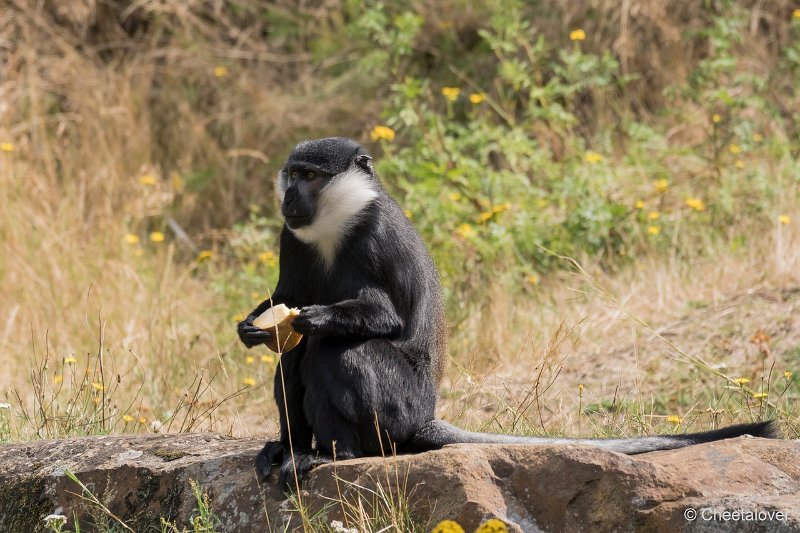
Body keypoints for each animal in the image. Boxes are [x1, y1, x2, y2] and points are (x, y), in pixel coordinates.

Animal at [236, 138, 776, 490]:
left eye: (311, 176)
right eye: (293, 174)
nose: (290, 195)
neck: (336, 221)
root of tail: (425, 419)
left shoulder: (373, 232)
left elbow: (383, 316)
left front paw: (314, 319)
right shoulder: (291, 236)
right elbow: (285, 300)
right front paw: (250, 327)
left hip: (398, 407)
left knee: (333, 353)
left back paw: (334, 453)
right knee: (294, 360)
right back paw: (290, 448)